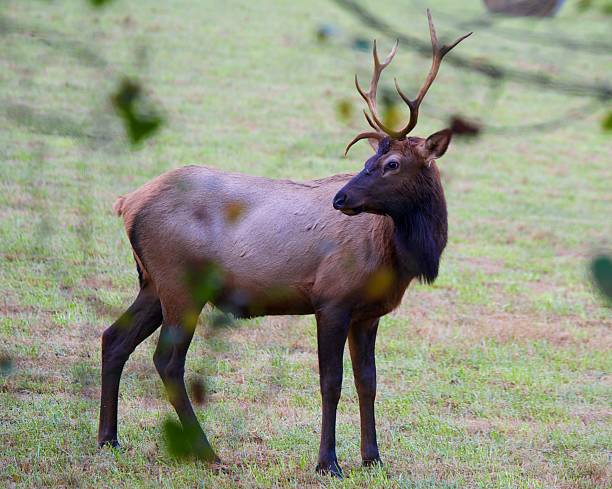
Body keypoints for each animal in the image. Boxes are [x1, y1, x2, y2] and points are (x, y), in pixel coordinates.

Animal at [100, 10, 470, 476]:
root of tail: (127, 203)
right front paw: (328, 462)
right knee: (167, 361)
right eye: (371, 159)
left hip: (152, 283)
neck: (396, 258)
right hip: (181, 283)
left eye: (390, 163)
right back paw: (209, 453)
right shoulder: (332, 301)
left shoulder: (368, 313)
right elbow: (331, 383)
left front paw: (373, 458)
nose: (341, 198)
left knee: (113, 338)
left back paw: (108, 439)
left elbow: (368, 382)